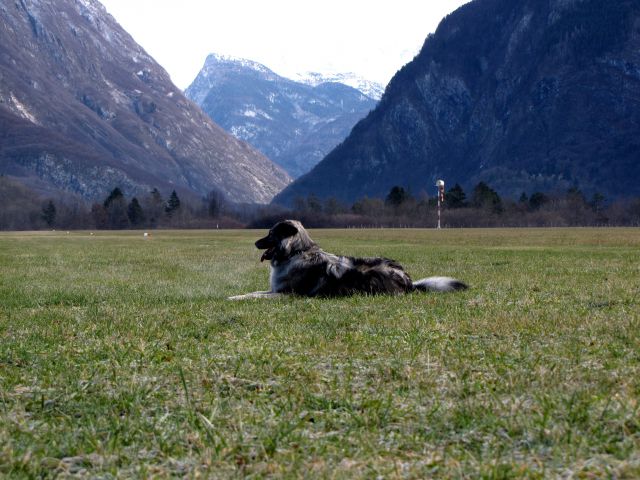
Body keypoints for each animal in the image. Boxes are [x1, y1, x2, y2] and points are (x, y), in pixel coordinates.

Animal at [228, 220, 468, 300]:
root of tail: (409, 282)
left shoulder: (286, 295)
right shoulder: (274, 290)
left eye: (270, 234)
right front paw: (235, 296)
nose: (255, 243)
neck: (295, 253)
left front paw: (236, 298)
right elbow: (253, 292)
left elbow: (255, 296)